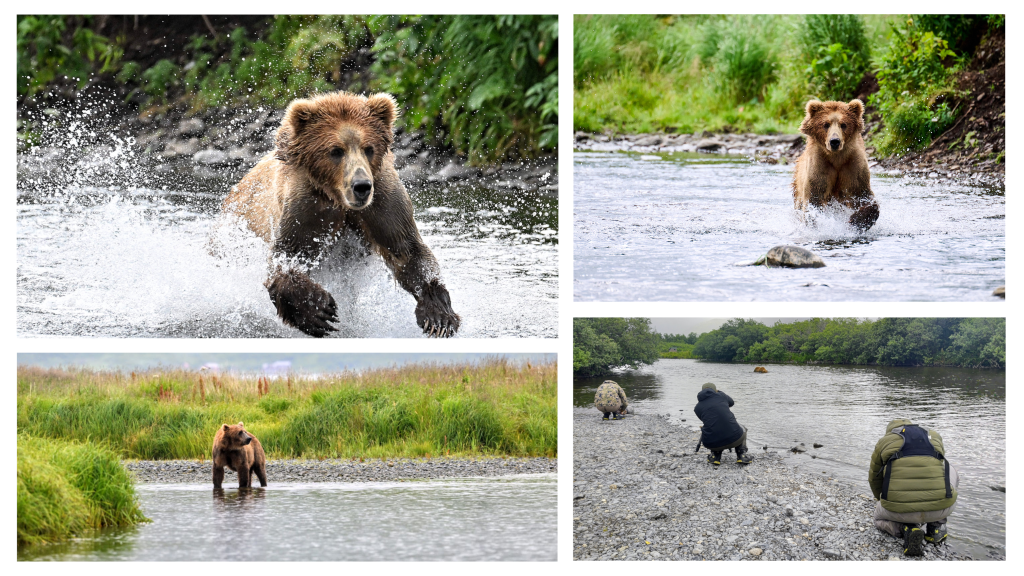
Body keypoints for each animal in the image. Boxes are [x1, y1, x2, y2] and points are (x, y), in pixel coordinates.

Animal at [222, 91, 460, 338]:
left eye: (369, 148)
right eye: (336, 151)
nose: (361, 186)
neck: (339, 199)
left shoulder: (382, 201)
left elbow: (406, 251)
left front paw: (439, 318)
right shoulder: (305, 205)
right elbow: (287, 256)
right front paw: (317, 310)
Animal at [793, 99, 880, 231]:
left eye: (843, 124)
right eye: (825, 124)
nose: (834, 141)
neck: (836, 158)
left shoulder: (853, 166)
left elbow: (863, 195)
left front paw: (856, 221)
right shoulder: (819, 165)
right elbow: (814, 198)